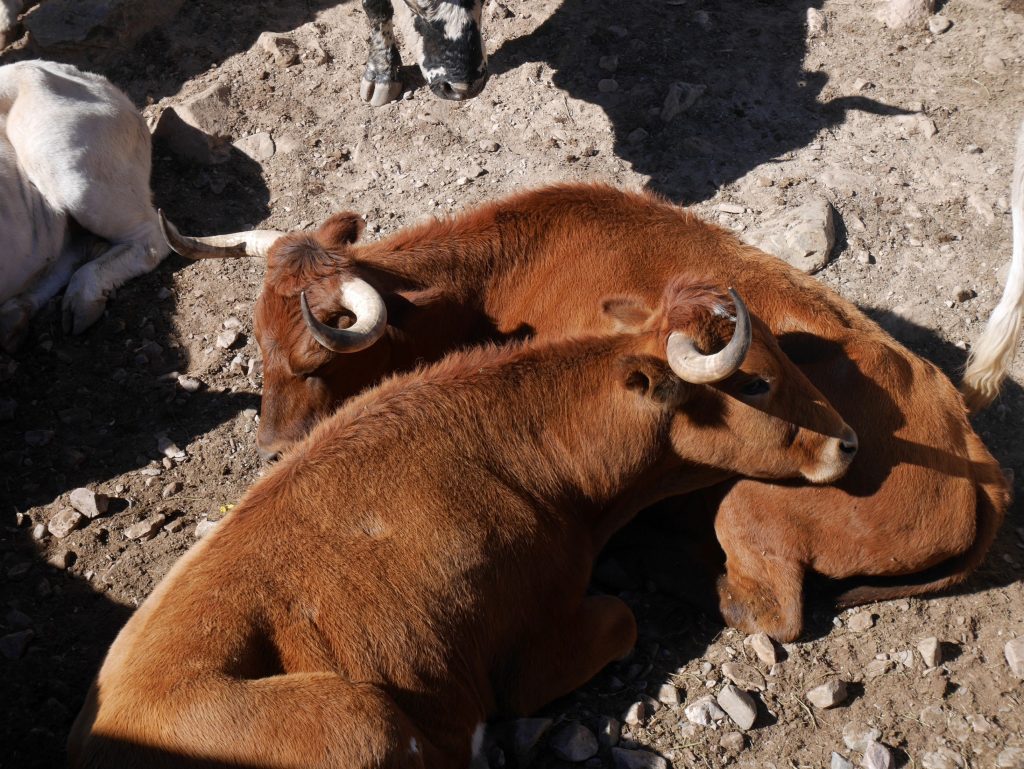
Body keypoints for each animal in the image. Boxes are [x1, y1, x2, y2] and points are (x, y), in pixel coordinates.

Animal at [68, 278, 856, 768]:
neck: (536, 445)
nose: (847, 442)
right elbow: (622, 618)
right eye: (755, 380)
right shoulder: (526, 657)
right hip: (359, 717)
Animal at [162, 181, 1011, 642]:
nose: (272, 449)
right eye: (259, 344)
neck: (504, 270)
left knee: (770, 606)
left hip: (747, 507)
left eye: (316, 360)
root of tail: (979, 458)